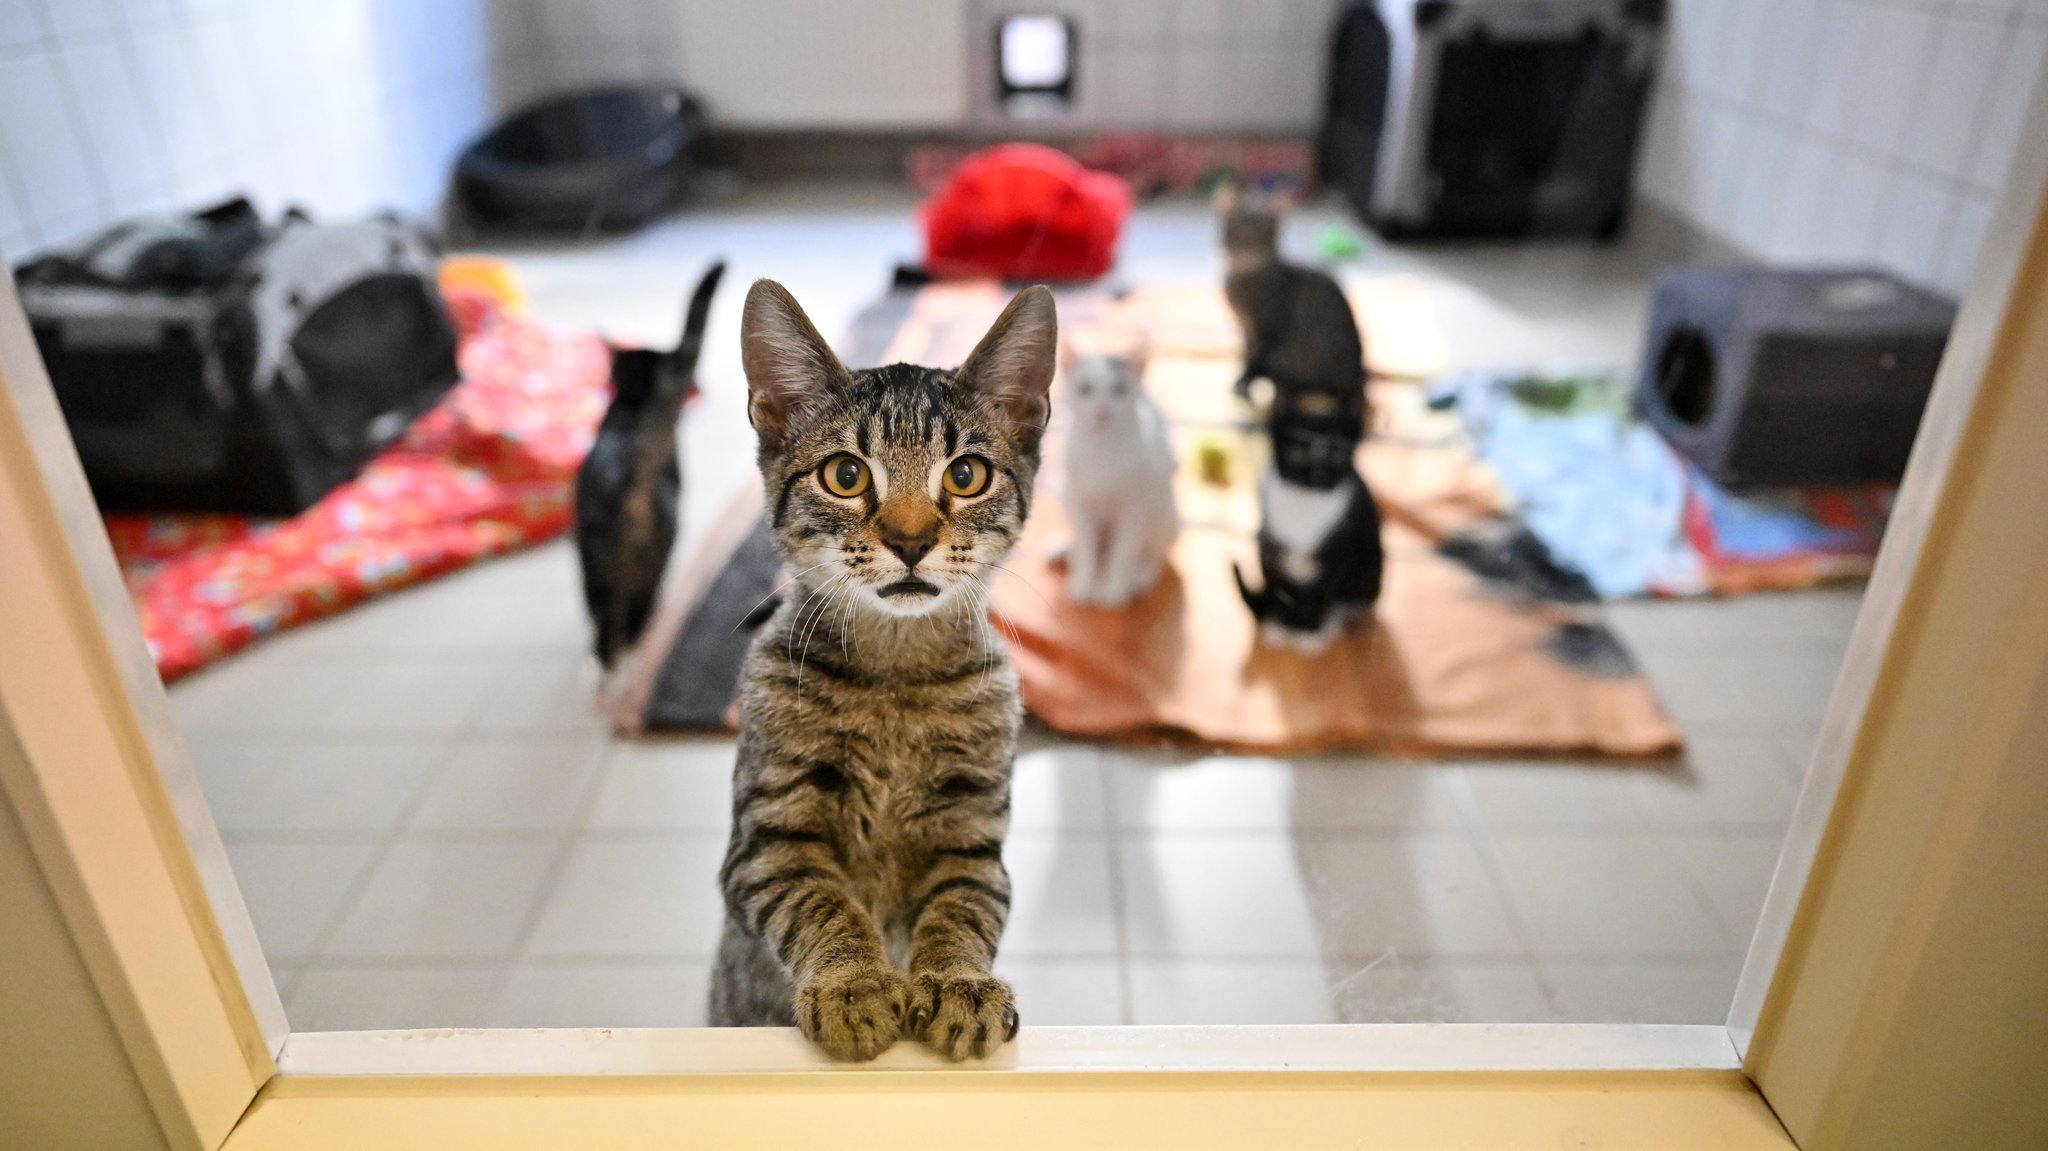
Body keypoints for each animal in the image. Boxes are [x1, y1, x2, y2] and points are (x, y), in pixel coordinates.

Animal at [712, 276, 1056, 1056]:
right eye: (845, 474)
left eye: (966, 474)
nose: (909, 539)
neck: (895, 678)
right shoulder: (769, 837)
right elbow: (821, 902)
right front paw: (853, 984)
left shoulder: (971, 838)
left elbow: (960, 912)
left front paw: (958, 983)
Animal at [1056, 350, 1187, 606]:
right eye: (1085, 389)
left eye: (1119, 389)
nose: (1102, 412)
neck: (1102, 450)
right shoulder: (1079, 501)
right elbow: (1087, 548)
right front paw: (1083, 583)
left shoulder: (1134, 511)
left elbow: (1123, 555)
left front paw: (1114, 590)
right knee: (1090, 547)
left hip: (1165, 519)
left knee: (1152, 555)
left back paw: (1139, 577)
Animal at [1220, 186, 1368, 401]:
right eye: (1241, 229)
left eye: (1265, 233)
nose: (1250, 251)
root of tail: (1358, 374)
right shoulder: (1246, 327)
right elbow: (1247, 352)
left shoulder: (1269, 328)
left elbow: (1254, 359)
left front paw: (1245, 380)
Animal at [1228, 385, 1392, 651]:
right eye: (1297, 452)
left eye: (1337, 456)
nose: (1317, 474)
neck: (1305, 503)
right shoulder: (1270, 553)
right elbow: (1279, 590)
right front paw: (1280, 626)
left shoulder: (1340, 557)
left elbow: (1322, 598)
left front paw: (1310, 635)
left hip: (1369, 574)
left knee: (1348, 601)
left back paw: (1333, 622)